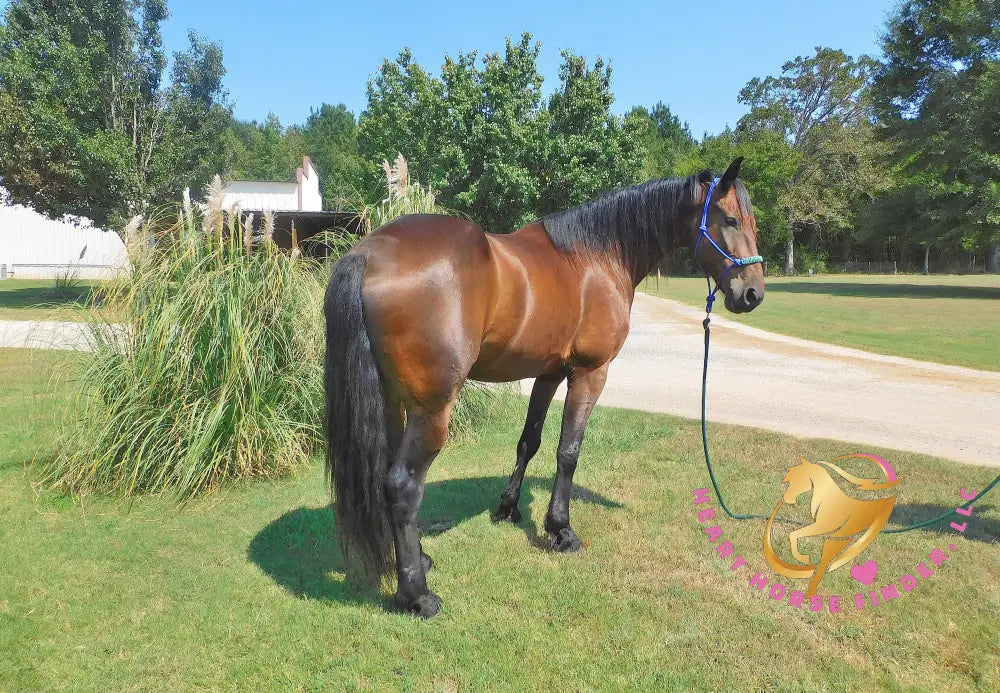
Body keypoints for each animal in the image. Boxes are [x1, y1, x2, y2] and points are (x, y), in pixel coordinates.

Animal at [324, 157, 764, 617]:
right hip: (432, 409)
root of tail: (368, 254)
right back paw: (418, 594)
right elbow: (568, 452)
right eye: (730, 219)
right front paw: (561, 530)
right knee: (402, 485)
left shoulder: (549, 373)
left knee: (385, 475)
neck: (597, 257)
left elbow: (528, 442)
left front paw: (508, 508)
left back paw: (417, 559)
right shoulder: (590, 372)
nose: (753, 293)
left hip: (394, 401)